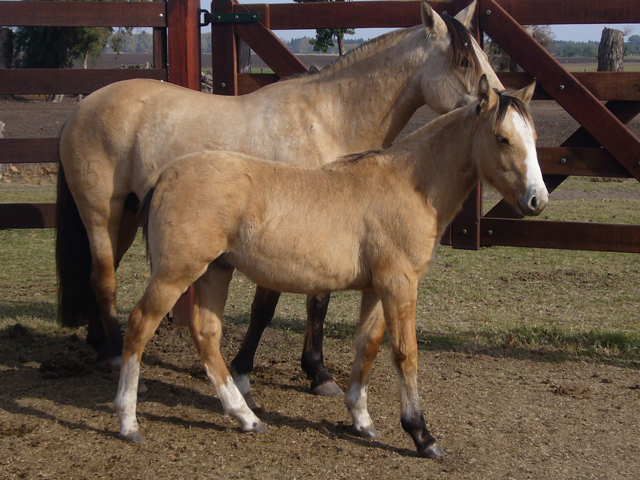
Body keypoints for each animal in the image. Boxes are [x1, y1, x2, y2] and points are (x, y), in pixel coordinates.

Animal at [56, 0, 504, 402]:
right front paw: (247, 373)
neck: (326, 120)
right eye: (463, 61)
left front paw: (317, 374)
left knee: (103, 276)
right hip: (101, 214)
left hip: (129, 216)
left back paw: (102, 346)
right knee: (104, 280)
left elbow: (317, 302)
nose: (499, 102)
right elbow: (267, 308)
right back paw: (117, 357)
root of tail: (83, 106)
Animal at [114, 76, 544, 458]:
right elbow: (405, 353)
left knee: (206, 335)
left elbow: (368, 345)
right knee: (139, 326)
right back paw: (128, 422)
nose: (537, 199)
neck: (408, 185)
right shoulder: (399, 284)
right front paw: (422, 435)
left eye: (534, 138)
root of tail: (165, 176)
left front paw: (362, 419)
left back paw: (246, 417)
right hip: (175, 274)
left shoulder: (376, 288)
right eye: (502, 138)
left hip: (215, 271)